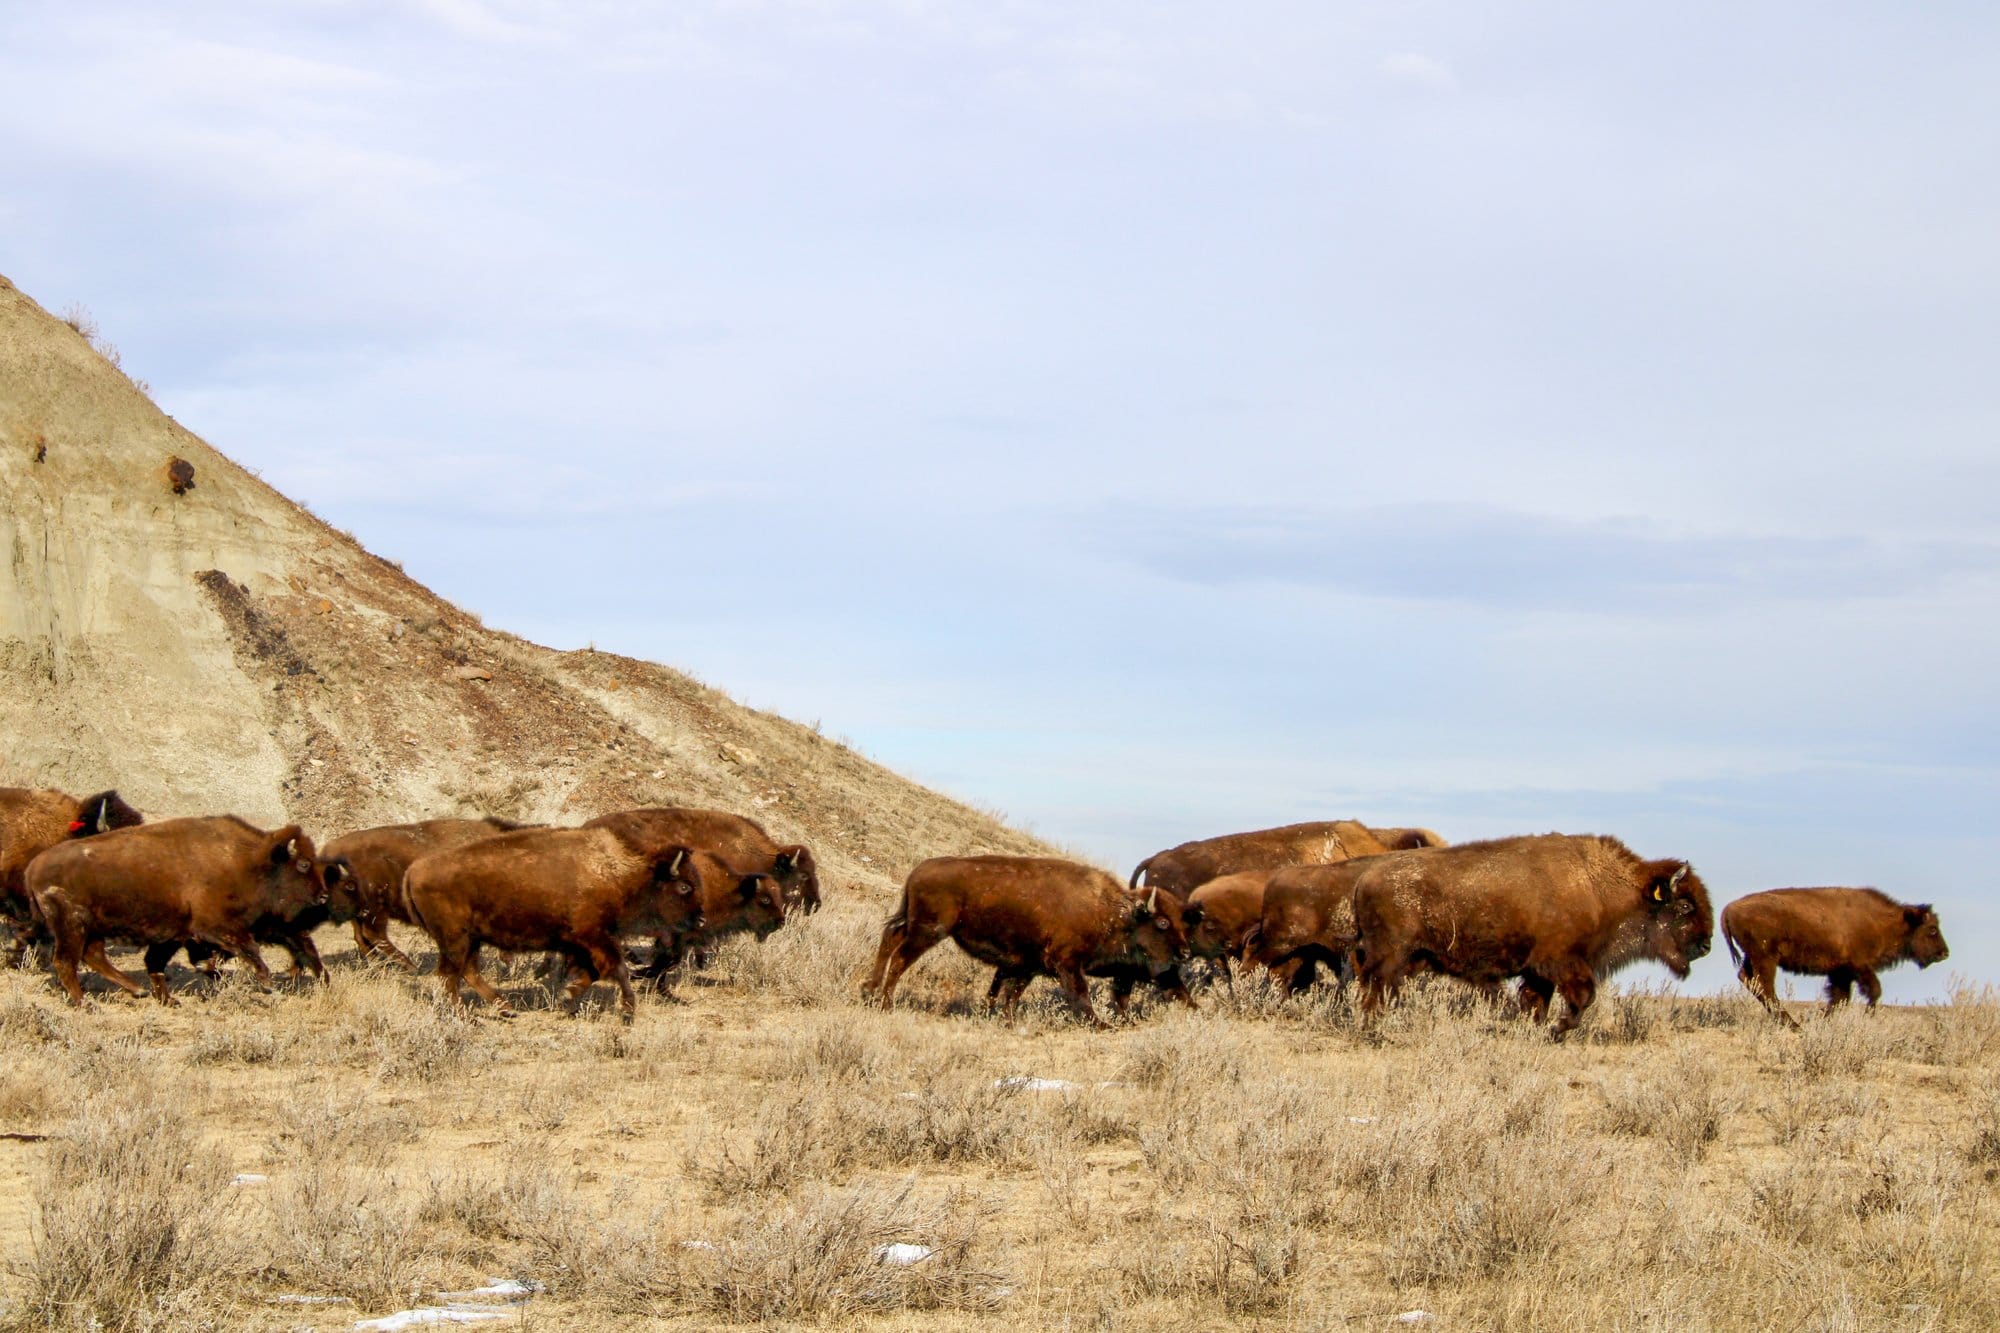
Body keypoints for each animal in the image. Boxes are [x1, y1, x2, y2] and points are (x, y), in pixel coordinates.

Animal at [865, 855, 1199, 1027]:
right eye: (1162, 922)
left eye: (1183, 924)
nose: (1184, 952)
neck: (1112, 913)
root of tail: (918, 870)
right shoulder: (1066, 963)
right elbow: (1080, 994)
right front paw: (1099, 1023)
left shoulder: (1029, 965)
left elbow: (1011, 993)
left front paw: (1008, 1020)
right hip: (928, 931)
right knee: (900, 958)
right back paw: (886, 1005)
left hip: (915, 925)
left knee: (889, 939)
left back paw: (868, 991)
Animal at [1353, 833, 1713, 1037]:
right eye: (1684, 905)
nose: (1706, 945)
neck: (1599, 887)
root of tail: (1365, 880)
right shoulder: (1561, 963)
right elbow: (1583, 997)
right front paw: (1557, 1029)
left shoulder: (1540, 974)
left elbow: (1537, 1001)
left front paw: (1535, 1028)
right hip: (1390, 957)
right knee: (1375, 989)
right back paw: (1373, 1029)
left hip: (1409, 960)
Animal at [1722, 887, 1949, 1025]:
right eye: (1931, 929)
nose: (1944, 953)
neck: (1882, 920)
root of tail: (1728, 909)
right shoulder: (1859, 966)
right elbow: (1874, 991)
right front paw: (1867, 1016)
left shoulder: (1841, 973)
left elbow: (1840, 998)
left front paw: (1822, 1019)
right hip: (1766, 958)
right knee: (1765, 986)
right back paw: (1792, 1024)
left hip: (1753, 957)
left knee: (1749, 979)